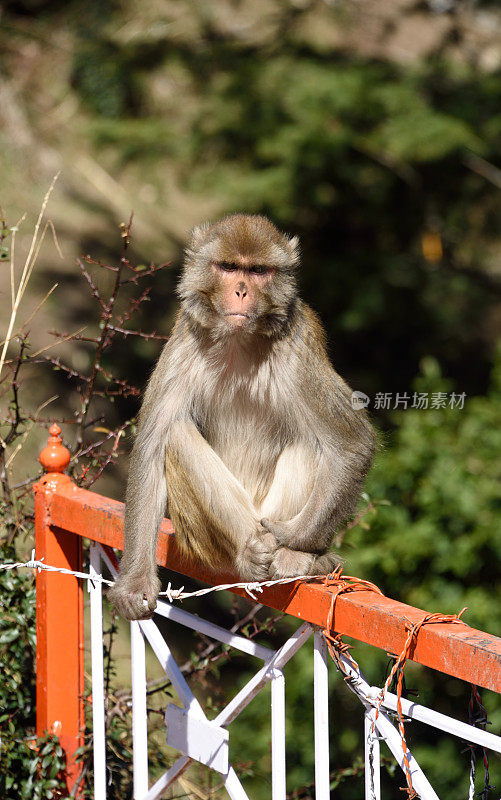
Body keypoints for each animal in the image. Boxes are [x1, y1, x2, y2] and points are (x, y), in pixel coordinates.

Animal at [109, 216, 376, 620]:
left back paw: (295, 555)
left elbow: (351, 444)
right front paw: (135, 582)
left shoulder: (296, 352)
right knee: (177, 434)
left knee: (311, 442)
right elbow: (152, 447)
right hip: (202, 541)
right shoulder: (184, 343)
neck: (238, 340)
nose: (240, 290)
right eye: (229, 267)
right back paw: (249, 552)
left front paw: (289, 539)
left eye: (258, 271)